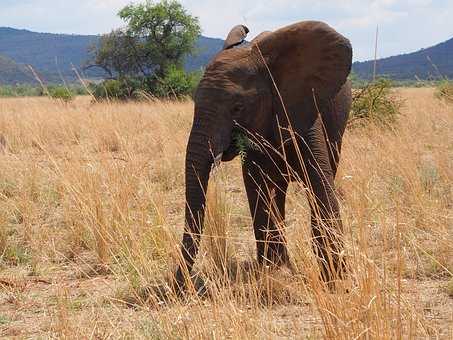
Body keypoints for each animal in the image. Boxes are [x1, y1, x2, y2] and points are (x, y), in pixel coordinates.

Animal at [174, 20, 354, 292]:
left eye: (237, 108)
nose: (180, 284)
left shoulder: (303, 112)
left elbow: (321, 186)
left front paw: (336, 280)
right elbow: (257, 189)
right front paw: (274, 272)